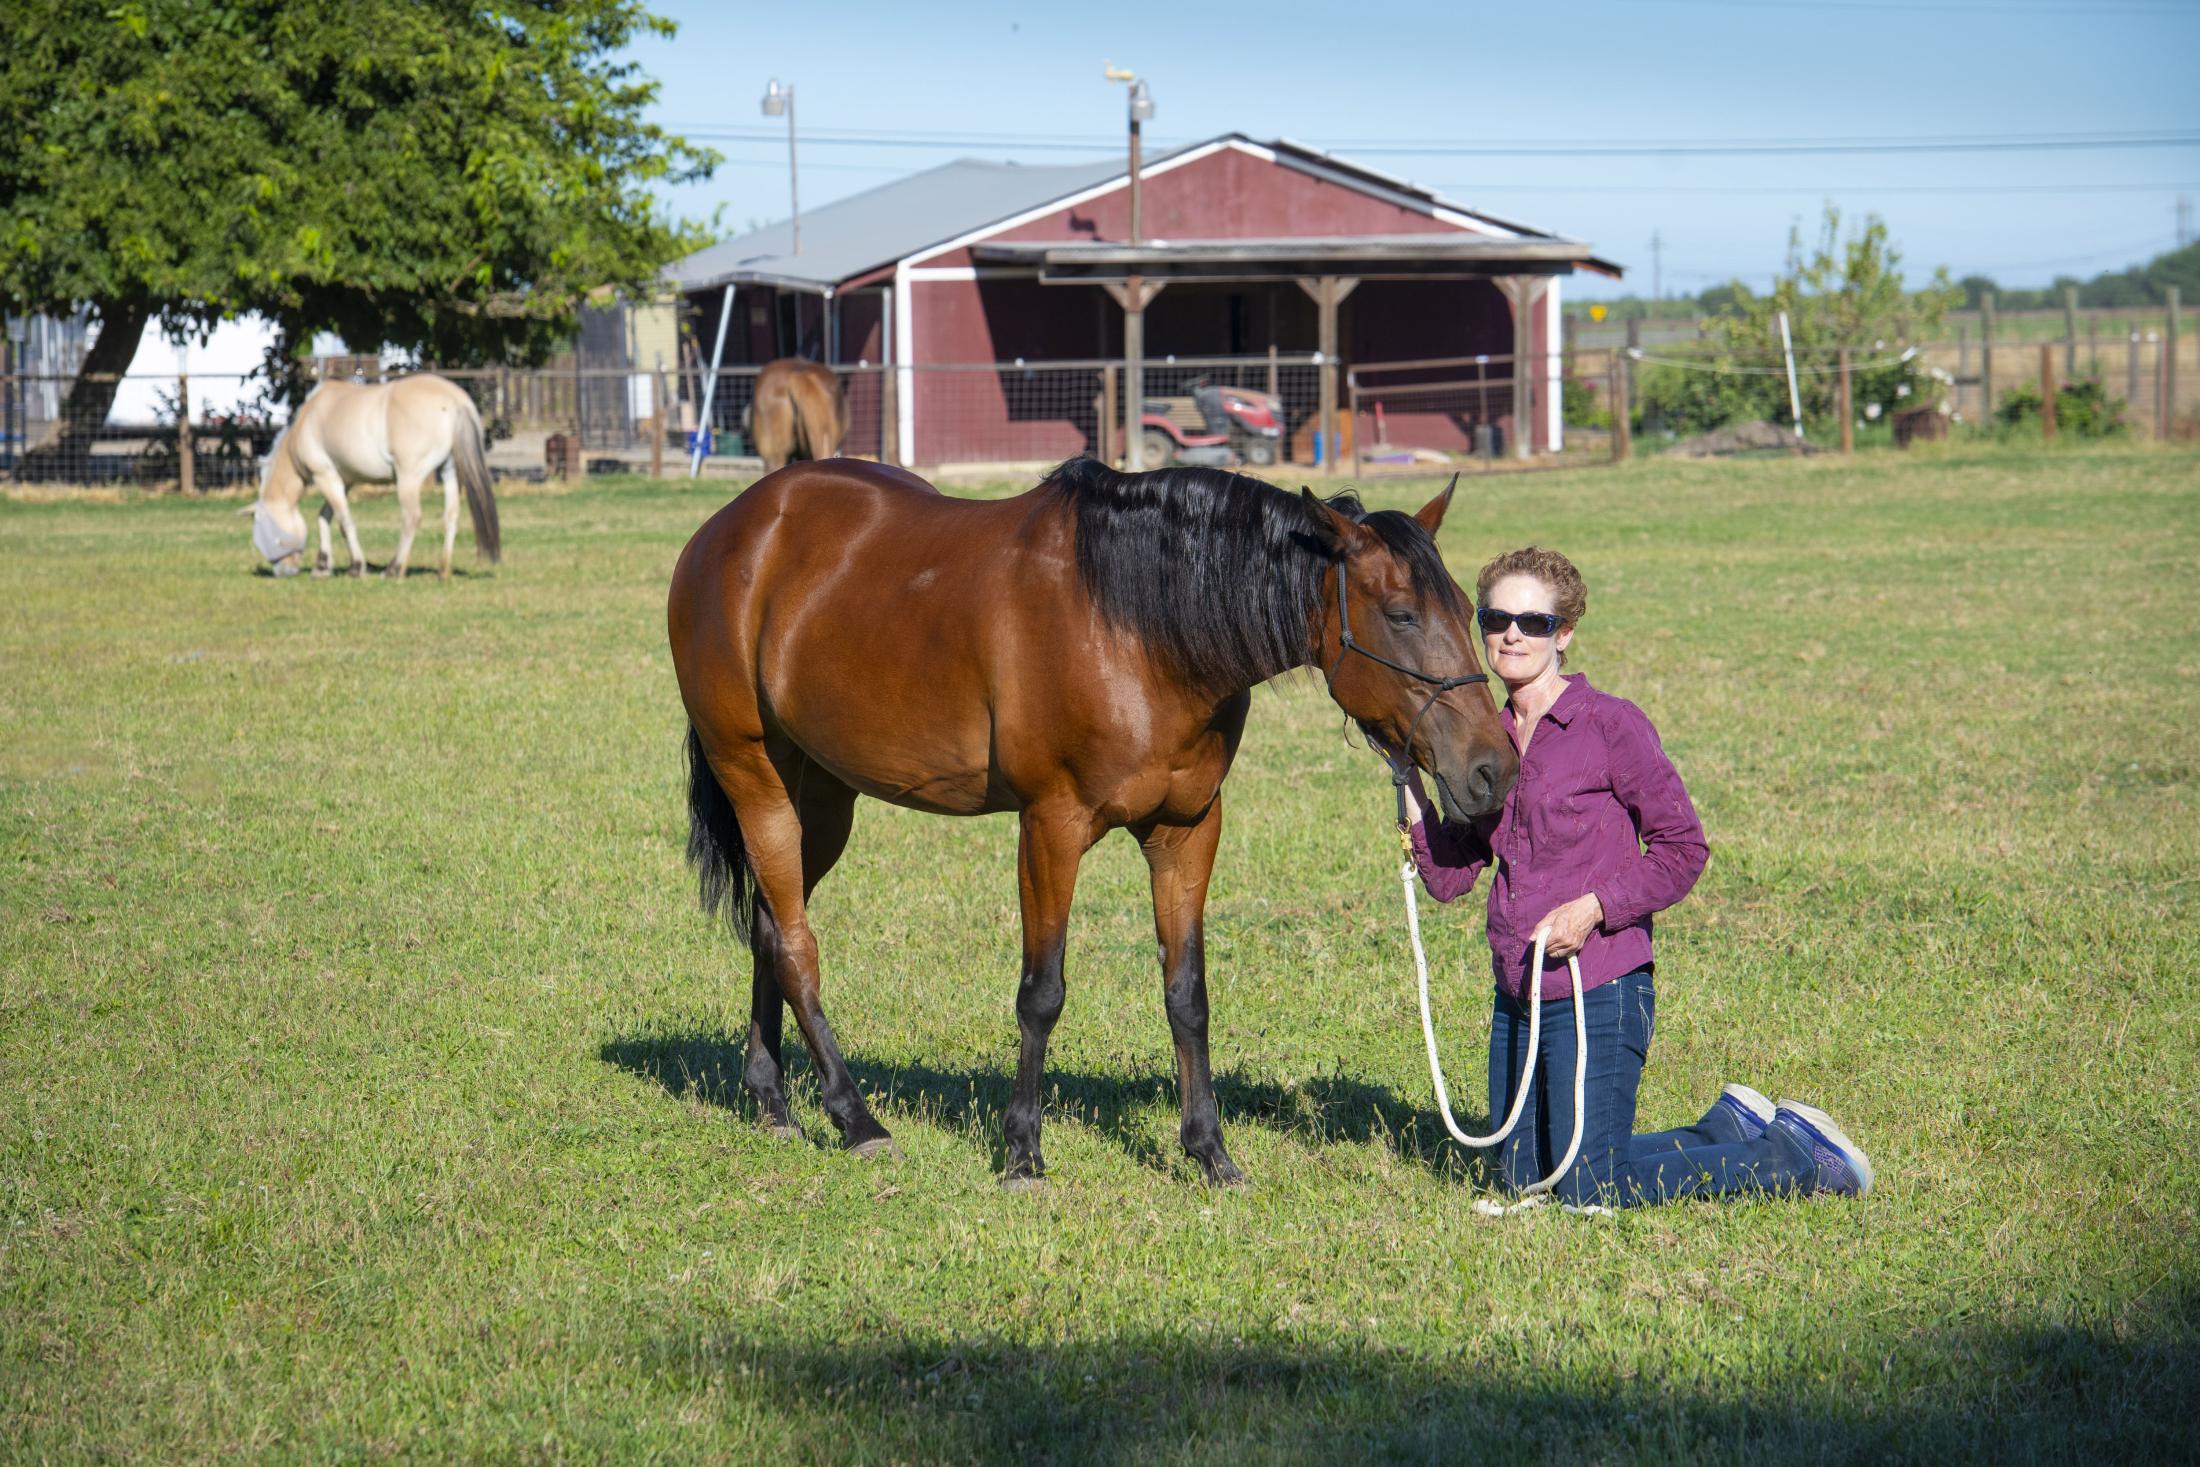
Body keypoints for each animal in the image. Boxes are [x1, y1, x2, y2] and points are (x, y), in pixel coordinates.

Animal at [251, 376, 501, 580]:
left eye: (264, 530)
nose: (284, 572)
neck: (310, 416)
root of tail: (455, 400)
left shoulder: (325, 476)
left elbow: (344, 521)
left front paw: (356, 567)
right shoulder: (344, 480)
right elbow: (324, 517)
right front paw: (322, 566)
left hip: (408, 478)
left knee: (412, 518)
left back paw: (394, 569)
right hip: (449, 472)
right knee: (451, 517)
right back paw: (443, 571)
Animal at [660, 461, 1513, 1196]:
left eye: (1467, 610)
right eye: (1400, 615)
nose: (1493, 769)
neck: (1137, 628)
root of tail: (730, 529)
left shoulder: (1187, 829)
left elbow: (1187, 993)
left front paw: (1210, 1151)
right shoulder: (1050, 825)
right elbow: (1042, 992)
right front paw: (1022, 1153)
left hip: (822, 796)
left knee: (769, 925)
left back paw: (773, 1101)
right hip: (754, 776)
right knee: (796, 945)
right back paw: (856, 1116)